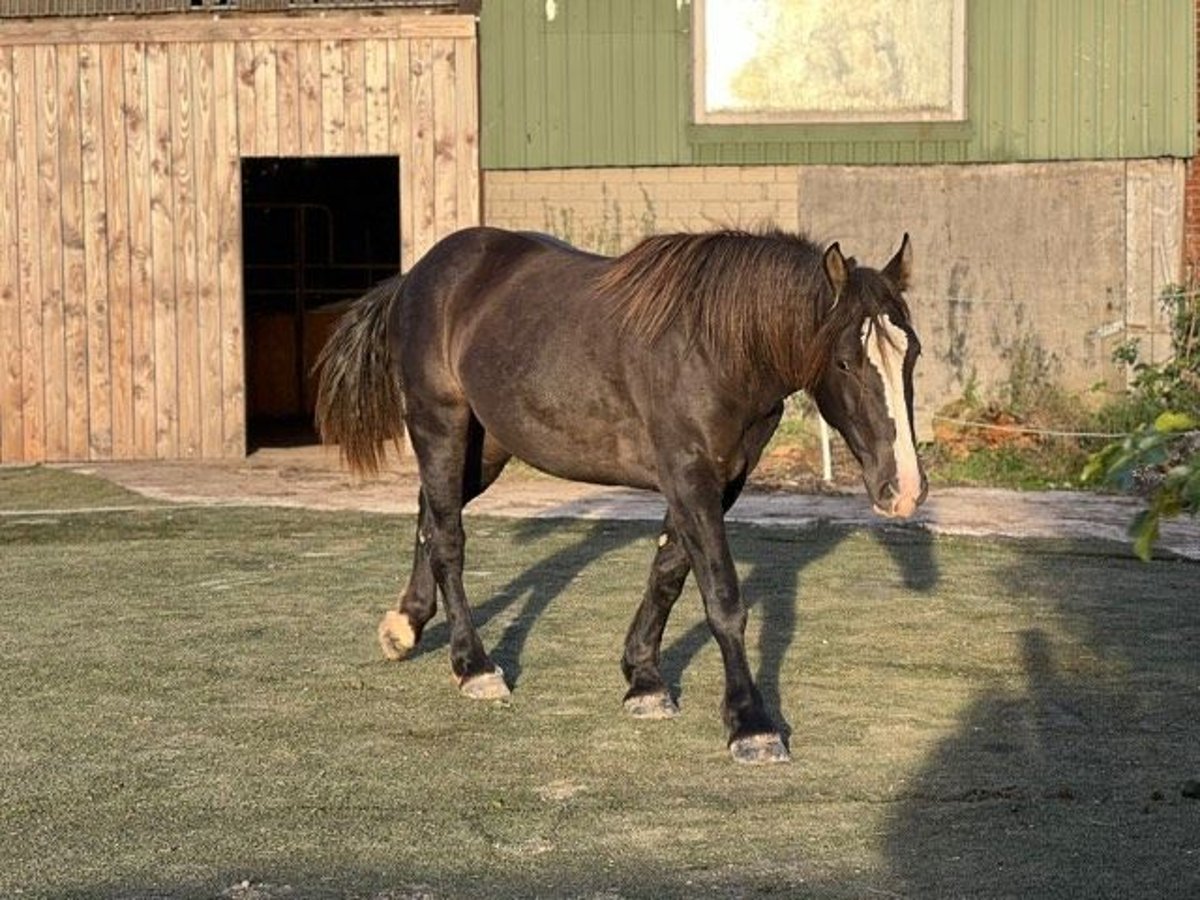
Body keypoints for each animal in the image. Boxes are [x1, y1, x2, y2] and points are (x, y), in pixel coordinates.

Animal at [314, 224, 921, 763]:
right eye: (845, 361)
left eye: (910, 354)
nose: (904, 490)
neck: (715, 347)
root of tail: (418, 276)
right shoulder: (689, 477)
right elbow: (723, 599)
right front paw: (750, 724)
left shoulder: (718, 481)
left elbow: (669, 574)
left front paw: (644, 680)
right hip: (440, 425)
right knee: (447, 538)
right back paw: (474, 666)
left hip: (484, 447)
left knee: (429, 514)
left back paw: (405, 625)